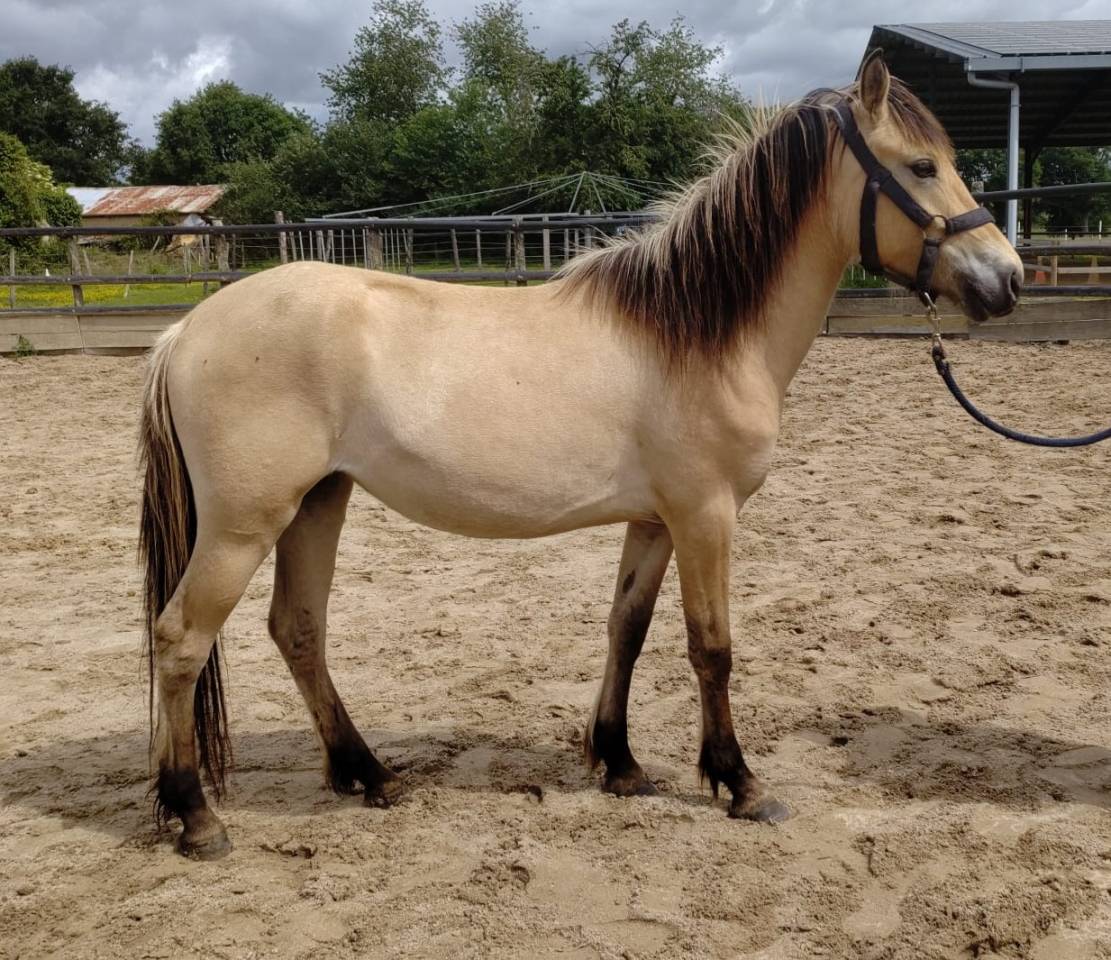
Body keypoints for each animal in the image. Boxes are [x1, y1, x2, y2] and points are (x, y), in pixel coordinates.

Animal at [138, 53, 1022, 859]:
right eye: (921, 166)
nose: (1007, 279)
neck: (698, 333)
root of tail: (187, 330)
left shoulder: (656, 522)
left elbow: (624, 629)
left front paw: (619, 762)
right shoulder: (705, 517)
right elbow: (711, 648)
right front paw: (739, 783)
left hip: (319, 501)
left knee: (298, 629)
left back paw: (368, 774)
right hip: (244, 524)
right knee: (181, 638)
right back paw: (196, 817)